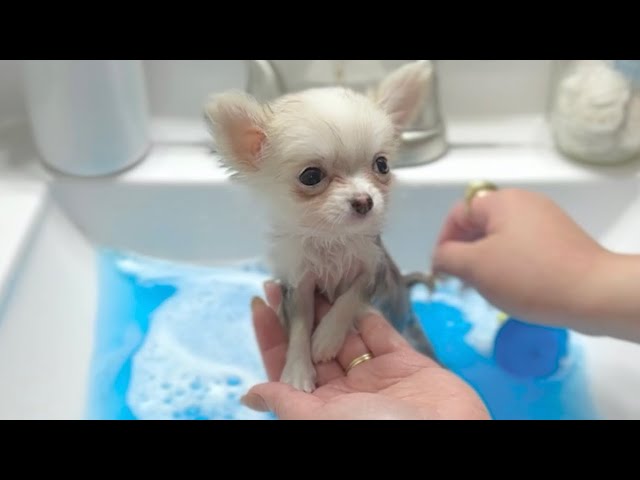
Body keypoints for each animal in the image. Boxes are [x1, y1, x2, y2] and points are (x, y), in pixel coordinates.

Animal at [208, 61, 438, 390]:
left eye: (382, 164)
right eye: (311, 176)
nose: (364, 201)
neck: (333, 239)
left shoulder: (373, 268)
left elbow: (349, 298)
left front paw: (326, 339)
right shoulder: (299, 284)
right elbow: (299, 326)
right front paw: (297, 370)